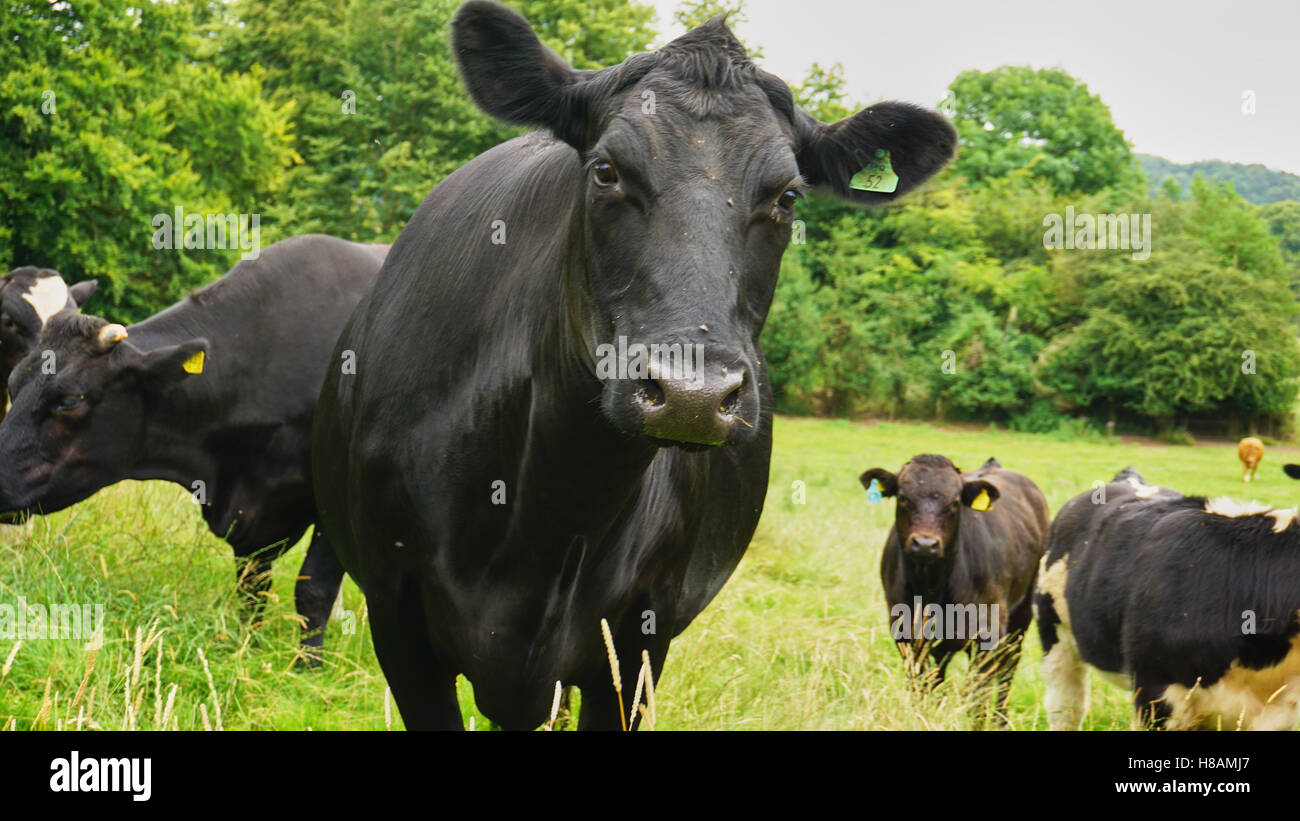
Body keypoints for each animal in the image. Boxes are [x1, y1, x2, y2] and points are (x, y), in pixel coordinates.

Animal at [309, 0, 951, 732]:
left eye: (788, 196)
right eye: (606, 171)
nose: (693, 394)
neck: (552, 505)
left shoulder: (641, 634)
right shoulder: (399, 619)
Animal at [857, 452, 1050, 717]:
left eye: (955, 502)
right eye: (903, 497)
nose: (925, 544)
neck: (931, 588)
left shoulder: (988, 632)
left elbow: (977, 700)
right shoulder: (904, 632)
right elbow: (921, 687)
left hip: (1020, 617)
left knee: (1006, 672)